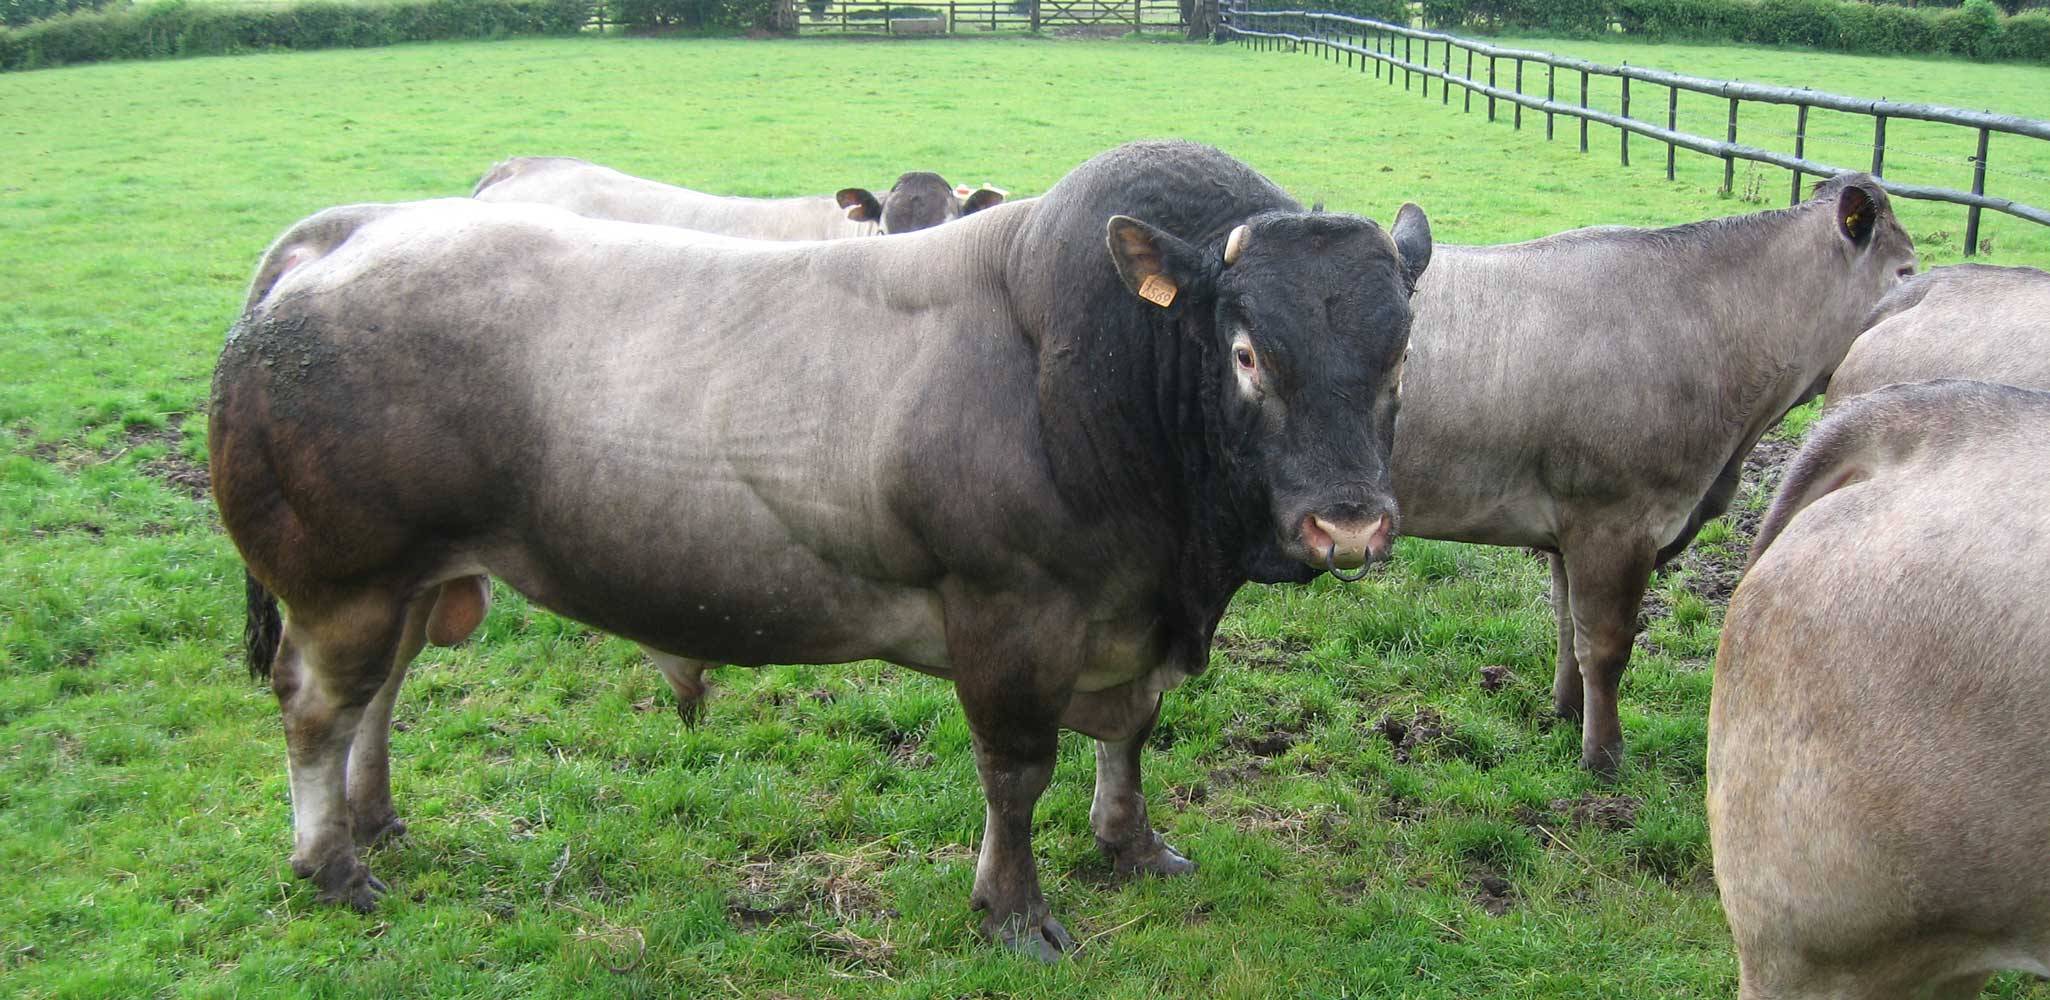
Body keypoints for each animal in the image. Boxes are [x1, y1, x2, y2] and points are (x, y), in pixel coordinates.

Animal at [209, 140, 1432, 961]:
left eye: (1401, 352)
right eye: (1246, 352)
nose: (1348, 521)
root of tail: (350, 232)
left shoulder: (1133, 614)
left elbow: (1128, 737)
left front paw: (1132, 847)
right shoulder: (1010, 613)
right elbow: (1016, 773)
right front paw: (1015, 909)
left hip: (413, 578)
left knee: (379, 696)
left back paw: (374, 818)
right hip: (344, 579)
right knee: (319, 707)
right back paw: (332, 862)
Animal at [1386, 174, 1916, 774]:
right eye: (1906, 271)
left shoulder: (1570, 529)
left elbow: (1568, 626)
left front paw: (1568, 711)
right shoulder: (1614, 521)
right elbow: (1607, 645)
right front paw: (1604, 754)